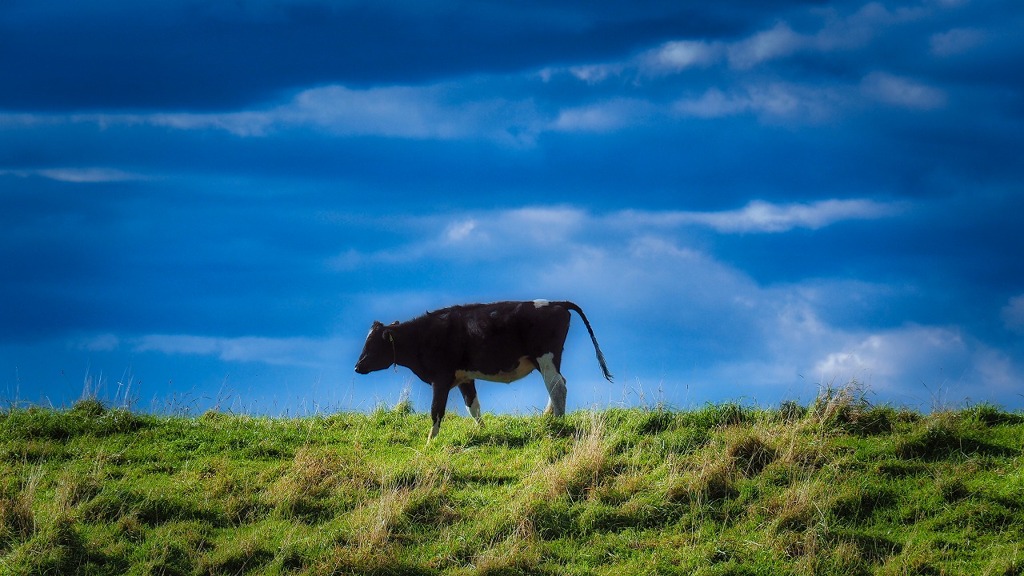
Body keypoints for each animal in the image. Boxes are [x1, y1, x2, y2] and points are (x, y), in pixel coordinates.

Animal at [356, 297, 610, 436]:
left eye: (373, 344)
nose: (357, 367)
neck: (422, 335)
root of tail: (555, 302)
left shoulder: (440, 378)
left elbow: (436, 411)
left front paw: (430, 441)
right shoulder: (464, 378)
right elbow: (473, 407)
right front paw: (483, 430)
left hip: (546, 357)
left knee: (557, 387)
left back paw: (557, 421)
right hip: (545, 361)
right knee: (557, 384)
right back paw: (548, 417)